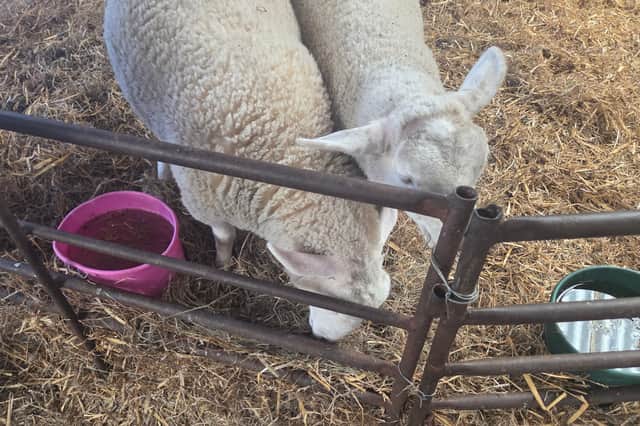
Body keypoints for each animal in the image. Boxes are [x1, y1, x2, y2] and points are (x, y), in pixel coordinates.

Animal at [103, 0, 396, 341]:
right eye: (326, 298)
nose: (324, 339)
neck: (284, 151)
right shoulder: (206, 202)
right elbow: (224, 236)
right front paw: (222, 265)